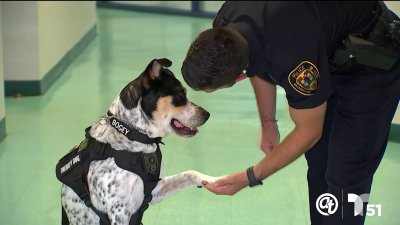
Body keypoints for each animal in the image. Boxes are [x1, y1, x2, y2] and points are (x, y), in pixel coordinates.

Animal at [58, 58, 219, 225]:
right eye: (180, 94)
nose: (207, 115)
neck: (133, 134)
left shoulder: (154, 190)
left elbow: (190, 173)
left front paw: (214, 181)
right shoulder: (119, 212)